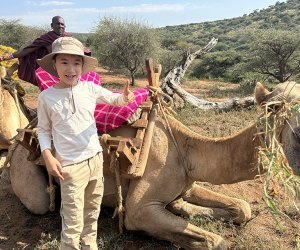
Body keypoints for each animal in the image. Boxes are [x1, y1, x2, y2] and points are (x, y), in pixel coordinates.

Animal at [6, 81, 300, 249]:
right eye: (273, 107)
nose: (297, 140)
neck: (185, 148)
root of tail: (19, 137)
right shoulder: (138, 210)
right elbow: (216, 241)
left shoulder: (187, 182)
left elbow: (242, 207)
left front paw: (182, 207)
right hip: (30, 179)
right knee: (39, 201)